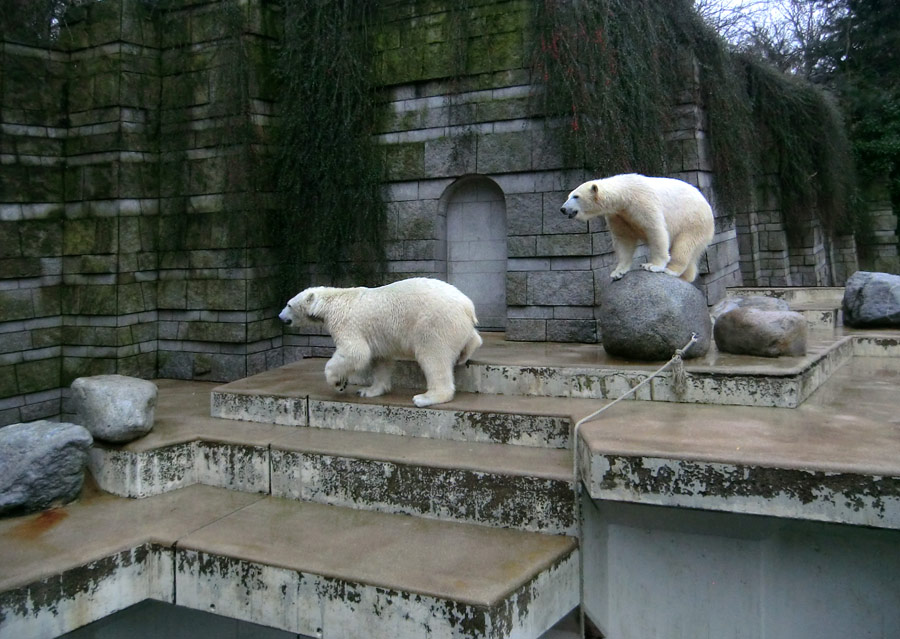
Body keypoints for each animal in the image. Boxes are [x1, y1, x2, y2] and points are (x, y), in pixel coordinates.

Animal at [278, 278, 482, 408]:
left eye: (288, 304)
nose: (280, 317)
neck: (331, 302)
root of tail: (468, 306)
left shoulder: (347, 323)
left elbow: (355, 352)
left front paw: (338, 382)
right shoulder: (378, 337)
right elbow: (380, 360)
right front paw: (368, 391)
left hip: (434, 323)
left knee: (434, 358)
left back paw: (426, 397)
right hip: (456, 325)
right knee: (472, 338)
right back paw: (464, 355)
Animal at [560, 175, 712, 284]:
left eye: (576, 196)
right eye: (568, 196)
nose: (563, 209)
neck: (625, 193)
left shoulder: (643, 201)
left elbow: (656, 230)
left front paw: (652, 266)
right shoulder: (619, 215)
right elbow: (623, 239)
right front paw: (618, 272)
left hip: (693, 221)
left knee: (684, 245)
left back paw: (671, 270)